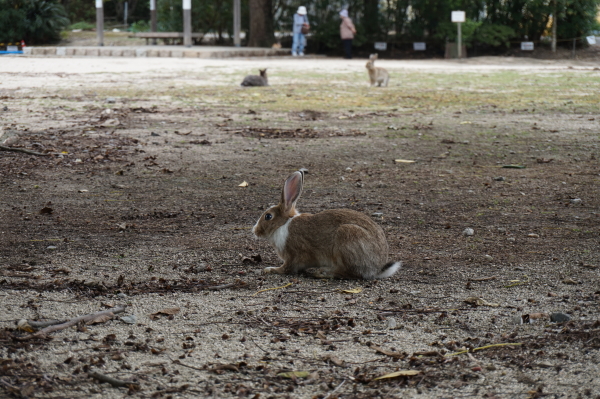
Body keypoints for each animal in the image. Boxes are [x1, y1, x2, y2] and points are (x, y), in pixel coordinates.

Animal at [251, 172, 400, 282]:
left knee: (350, 273)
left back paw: (322, 273)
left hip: (346, 237)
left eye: (268, 216)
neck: (283, 224)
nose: (255, 230)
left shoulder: (294, 255)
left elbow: (286, 268)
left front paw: (270, 269)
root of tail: (377, 269)